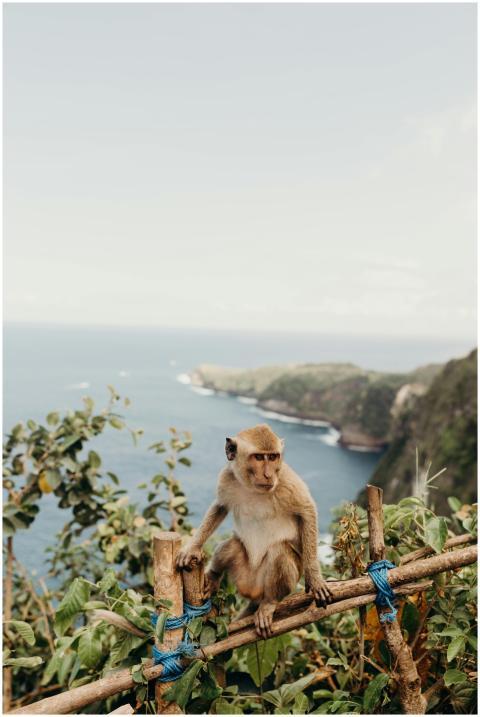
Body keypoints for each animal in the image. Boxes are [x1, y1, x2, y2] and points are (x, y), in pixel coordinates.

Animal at [176, 424, 333, 638]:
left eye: (273, 457)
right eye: (258, 457)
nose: (268, 475)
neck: (253, 488)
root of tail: (253, 593)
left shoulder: (286, 480)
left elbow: (307, 511)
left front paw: (315, 578)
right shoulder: (227, 477)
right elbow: (220, 507)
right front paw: (192, 547)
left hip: (269, 584)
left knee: (280, 552)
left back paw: (269, 603)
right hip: (242, 576)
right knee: (232, 545)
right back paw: (214, 576)